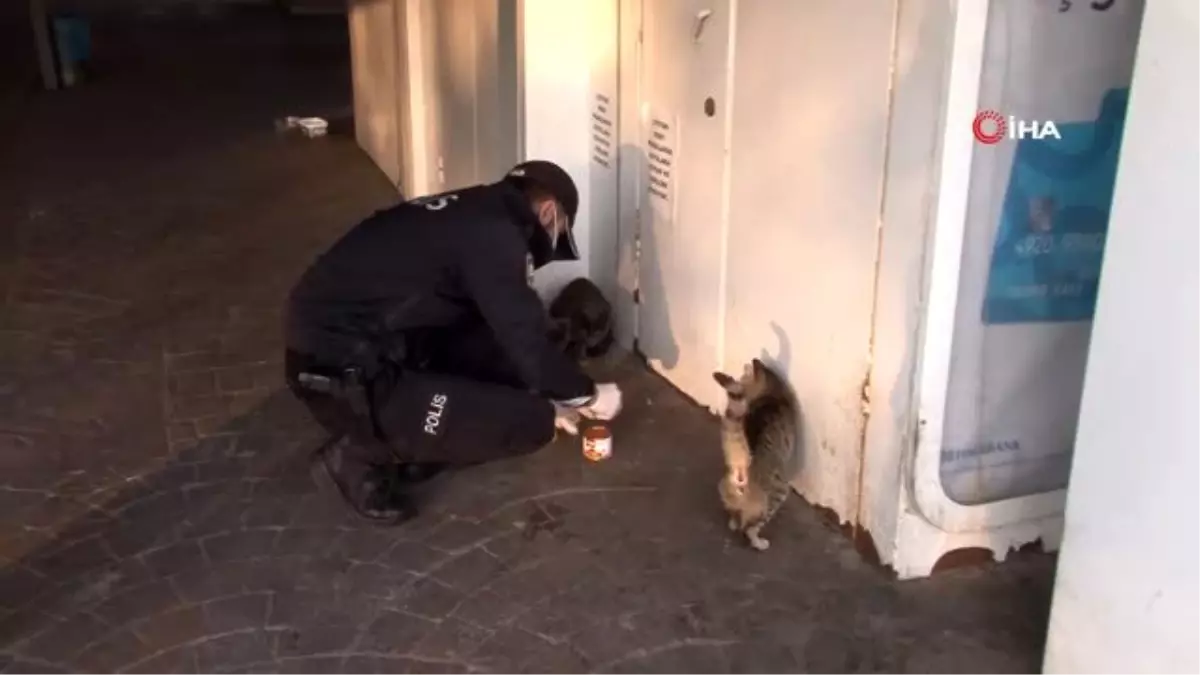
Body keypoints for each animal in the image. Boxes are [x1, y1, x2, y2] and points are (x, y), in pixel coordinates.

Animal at [710, 357, 796, 547]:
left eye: (741, 378)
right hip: (778, 493)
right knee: (750, 527)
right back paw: (758, 542)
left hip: (724, 486)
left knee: (735, 514)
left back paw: (733, 522)